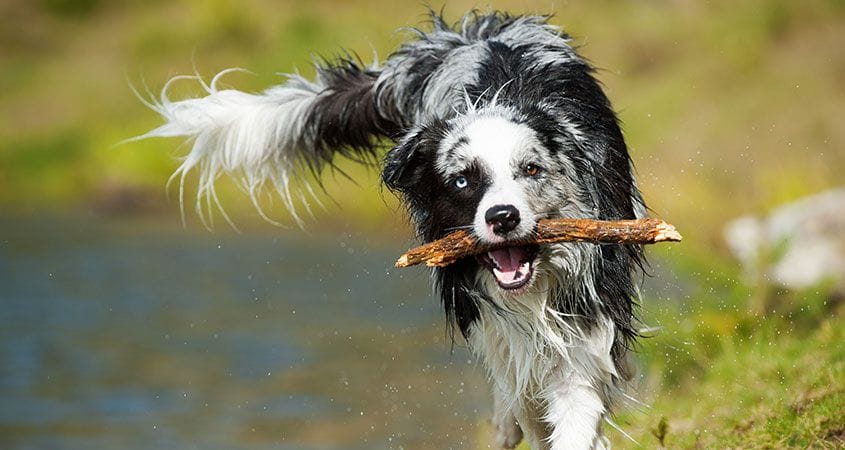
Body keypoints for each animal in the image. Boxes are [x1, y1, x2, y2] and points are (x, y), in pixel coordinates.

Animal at [140, 10, 648, 450]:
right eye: (462, 181)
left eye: (531, 169)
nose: (502, 217)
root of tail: (467, 34)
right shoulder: (499, 326)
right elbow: (527, 400)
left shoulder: (583, 328)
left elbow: (574, 406)